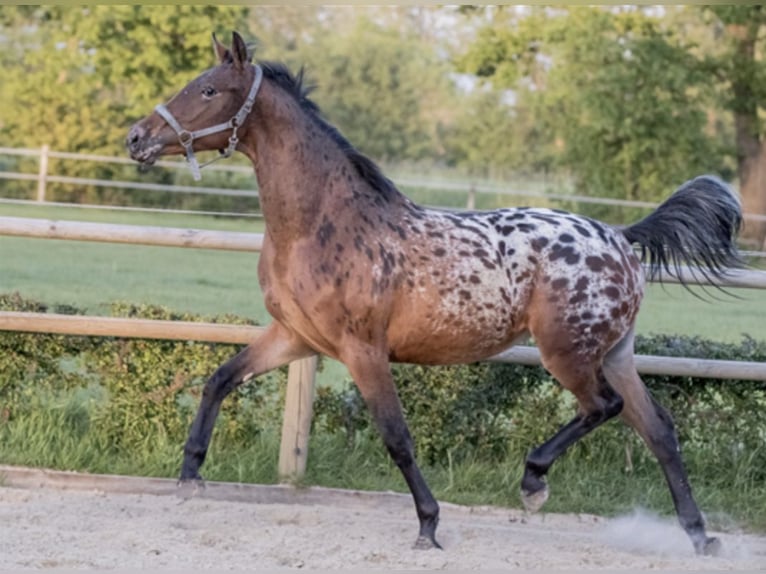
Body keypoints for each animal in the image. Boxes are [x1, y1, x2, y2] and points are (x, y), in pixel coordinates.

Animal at [127, 30, 744, 560]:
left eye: (209, 90)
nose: (136, 137)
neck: (316, 224)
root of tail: (620, 236)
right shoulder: (295, 337)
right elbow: (219, 379)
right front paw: (189, 476)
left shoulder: (362, 351)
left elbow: (397, 437)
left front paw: (428, 525)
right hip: (613, 352)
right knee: (659, 430)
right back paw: (700, 537)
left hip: (567, 353)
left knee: (605, 408)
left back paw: (534, 482)